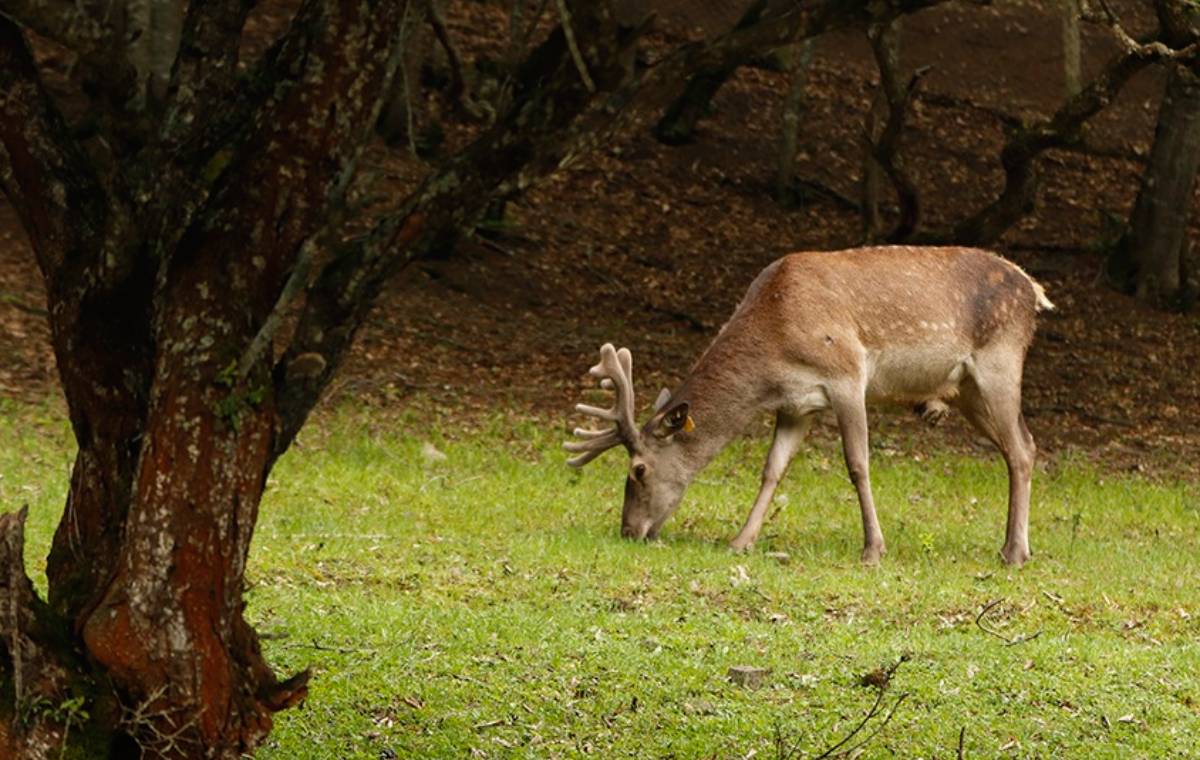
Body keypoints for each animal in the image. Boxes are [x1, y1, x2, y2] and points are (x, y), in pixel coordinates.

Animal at [564, 242, 1051, 564]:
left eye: (638, 470)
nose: (629, 531)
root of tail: (1034, 289)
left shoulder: (847, 374)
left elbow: (858, 464)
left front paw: (873, 549)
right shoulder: (796, 406)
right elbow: (772, 470)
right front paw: (741, 541)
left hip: (1000, 363)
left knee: (1021, 449)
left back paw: (1014, 552)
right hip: (967, 389)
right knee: (1022, 447)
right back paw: (1015, 546)